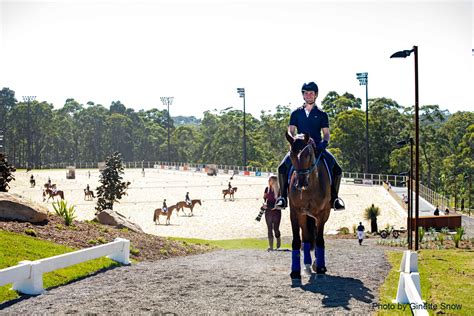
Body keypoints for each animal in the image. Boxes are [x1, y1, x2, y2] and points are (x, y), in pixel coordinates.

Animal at [286, 133, 334, 278]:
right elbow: (297, 241)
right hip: (304, 216)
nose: (301, 183)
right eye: (291, 155)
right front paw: (295, 271)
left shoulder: (322, 214)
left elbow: (319, 240)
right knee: (306, 238)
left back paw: (316, 264)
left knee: (316, 236)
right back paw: (307, 266)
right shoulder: (295, 213)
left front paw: (320, 268)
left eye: (307, 155)